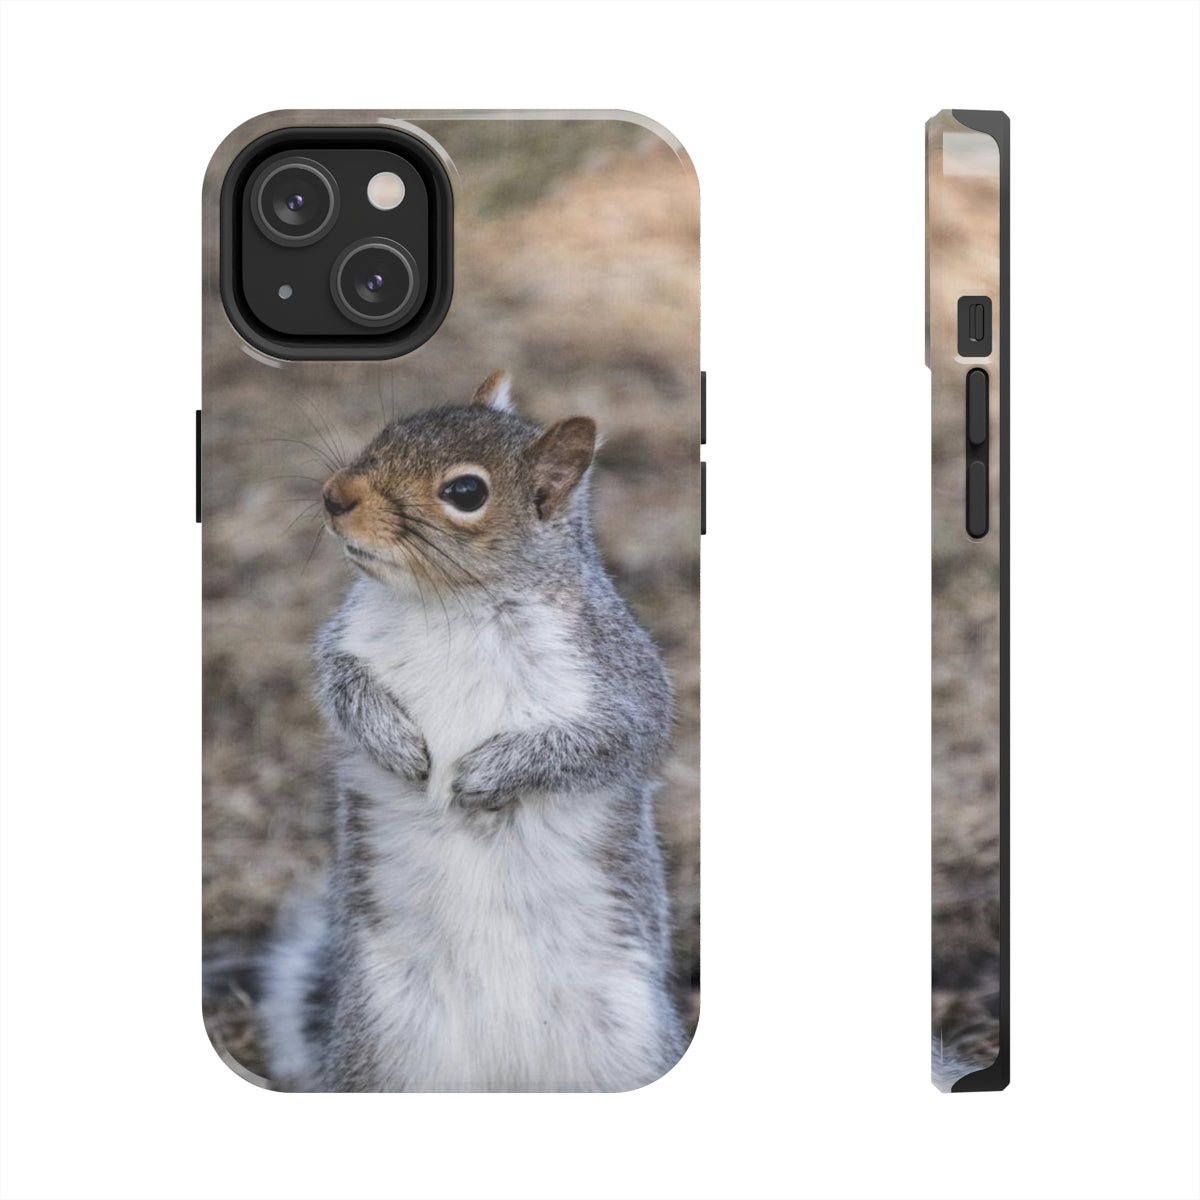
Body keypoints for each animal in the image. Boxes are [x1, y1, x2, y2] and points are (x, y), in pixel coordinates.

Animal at [259, 370, 686, 1092]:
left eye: (466, 493)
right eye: (388, 431)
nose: (335, 496)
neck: (451, 605)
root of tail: (505, 1074)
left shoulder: (619, 683)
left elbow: (606, 744)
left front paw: (485, 777)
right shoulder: (345, 644)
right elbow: (342, 689)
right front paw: (398, 746)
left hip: (626, 1044)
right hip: (387, 1046)